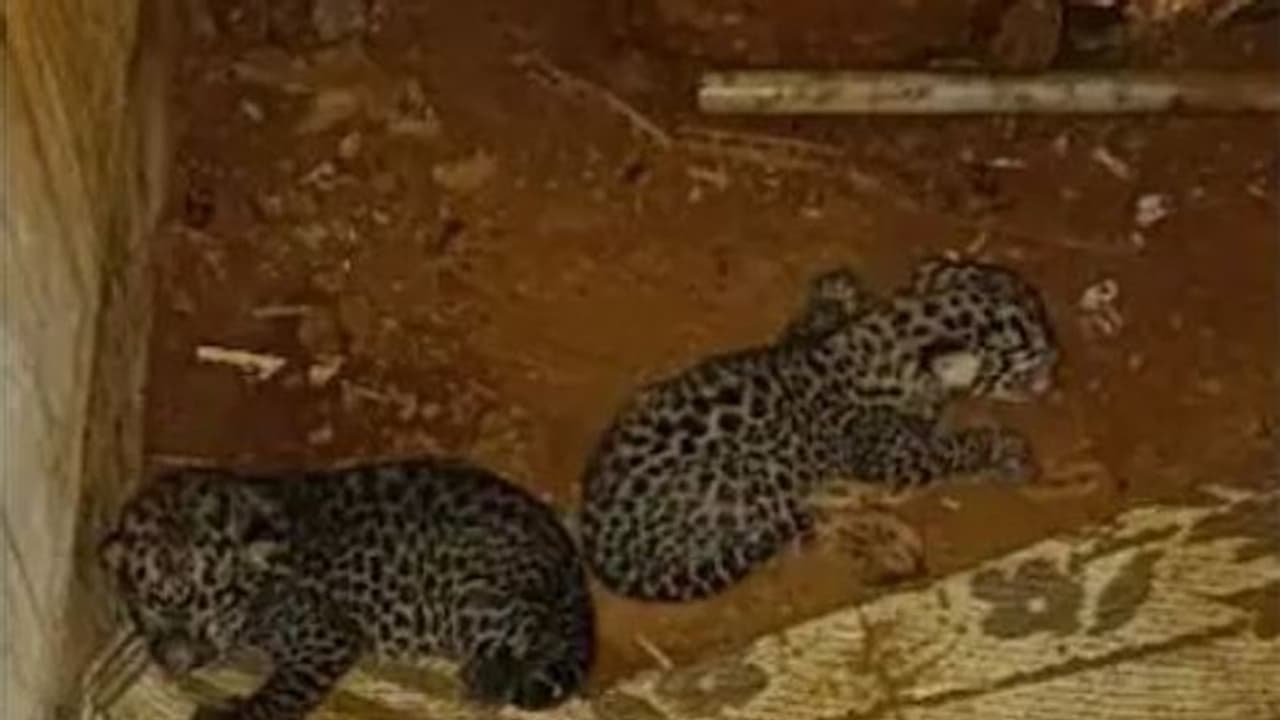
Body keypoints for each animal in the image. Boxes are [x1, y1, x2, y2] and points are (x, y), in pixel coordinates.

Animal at [98, 457, 595, 720]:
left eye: (214, 605)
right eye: (149, 605)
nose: (177, 662)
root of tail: (564, 543)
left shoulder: (327, 637)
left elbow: (280, 694)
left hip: (476, 595)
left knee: (544, 635)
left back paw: (490, 680)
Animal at [580, 257, 1060, 602]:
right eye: (1029, 363)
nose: (1054, 373)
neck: (890, 343)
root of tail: (603, 548)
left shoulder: (802, 341)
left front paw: (836, 289)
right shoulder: (892, 459)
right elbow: (951, 449)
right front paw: (1005, 452)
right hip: (756, 480)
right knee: (804, 529)